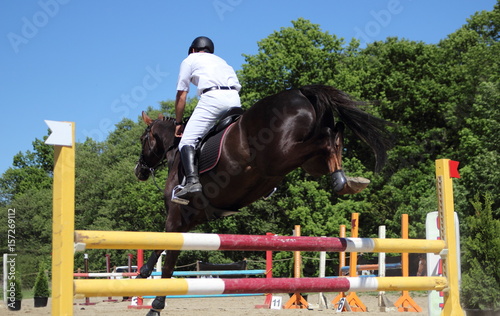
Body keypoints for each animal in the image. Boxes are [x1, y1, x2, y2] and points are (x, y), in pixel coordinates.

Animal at [135, 83, 392, 314]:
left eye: (142, 139)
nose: (139, 171)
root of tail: (301, 92)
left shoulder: (178, 215)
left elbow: (166, 255)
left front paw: (151, 295)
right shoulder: (189, 221)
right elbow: (164, 251)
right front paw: (145, 283)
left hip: (279, 156)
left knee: (326, 138)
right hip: (309, 163)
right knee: (335, 135)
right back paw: (345, 181)